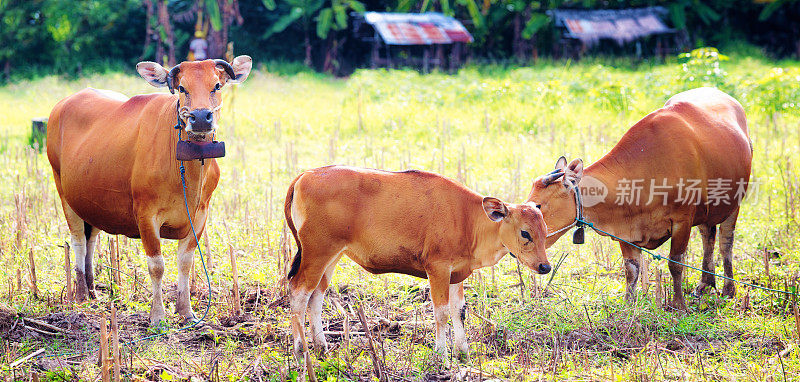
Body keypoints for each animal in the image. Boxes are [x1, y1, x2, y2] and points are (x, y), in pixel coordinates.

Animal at [46, 57, 250, 326]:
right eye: (182, 87)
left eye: (216, 85)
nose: (200, 118)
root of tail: (61, 105)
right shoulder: (146, 215)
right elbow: (157, 265)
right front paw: (157, 315)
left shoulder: (200, 215)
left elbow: (185, 263)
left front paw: (186, 311)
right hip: (64, 193)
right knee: (78, 240)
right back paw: (80, 295)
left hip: (91, 201)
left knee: (91, 239)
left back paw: (92, 291)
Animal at [282, 166, 552, 366]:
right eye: (525, 233)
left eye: (544, 230)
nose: (545, 266)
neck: (468, 219)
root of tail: (305, 176)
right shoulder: (438, 269)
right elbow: (441, 313)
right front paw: (442, 356)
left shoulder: (457, 274)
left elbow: (459, 312)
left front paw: (463, 354)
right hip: (317, 252)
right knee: (298, 293)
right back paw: (300, 351)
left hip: (332, 256)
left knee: (316, 296)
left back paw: (321, 348)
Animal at [528, 87, 752, 310]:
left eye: (538, 205)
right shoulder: (626, 229)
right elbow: (631, 268)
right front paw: (628, 304)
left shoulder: (683, 221)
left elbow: (675, 263)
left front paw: (679, 304)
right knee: (708, 237)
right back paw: (705, 284)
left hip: (734, 203)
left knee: (725, 242)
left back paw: (729, 289)